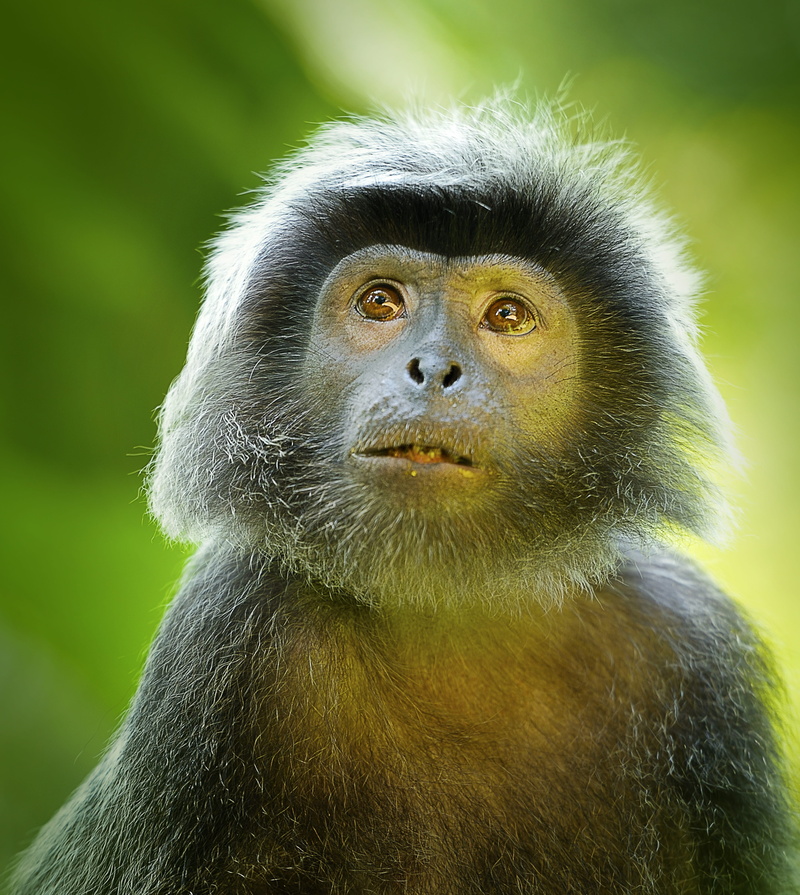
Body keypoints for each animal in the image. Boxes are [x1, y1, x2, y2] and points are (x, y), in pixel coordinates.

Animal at [9, 99, 797, 894]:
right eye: (381, 302)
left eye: (508, 316)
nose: (434, 369)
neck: (450, 623)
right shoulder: (220, 644)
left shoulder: (690, 648)